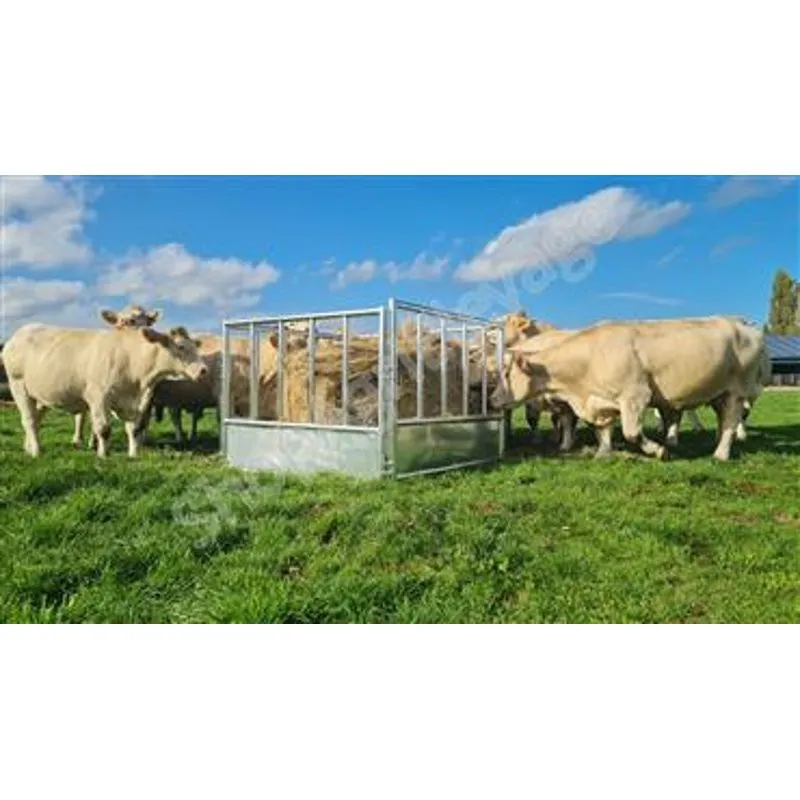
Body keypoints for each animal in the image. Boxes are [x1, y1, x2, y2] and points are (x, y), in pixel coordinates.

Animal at [3, 323, 207, 458]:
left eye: (195, 346)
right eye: (180, 346)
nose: (203, 370)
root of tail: (19, 333)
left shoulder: (132, 403)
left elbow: (133, 429)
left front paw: (133, 454)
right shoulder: (98, 396)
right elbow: (103, 428)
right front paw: (103, 455)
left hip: (39, 396)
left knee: (35, 420)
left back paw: (28, 448)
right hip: (18, 387)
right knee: (29, 420)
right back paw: (37, 452)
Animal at [490, 316, 766, 461]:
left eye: (506, 373)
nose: (491, 399)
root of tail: (742, 323)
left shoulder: (635, 396)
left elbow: (631, 433)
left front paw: (659, 450)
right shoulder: (600, 400)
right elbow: (602, 429)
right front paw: (603, 452)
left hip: (738, 390)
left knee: (732, 419)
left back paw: (720, 454)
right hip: (720, 393)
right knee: (723, 419)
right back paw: (718, 444)